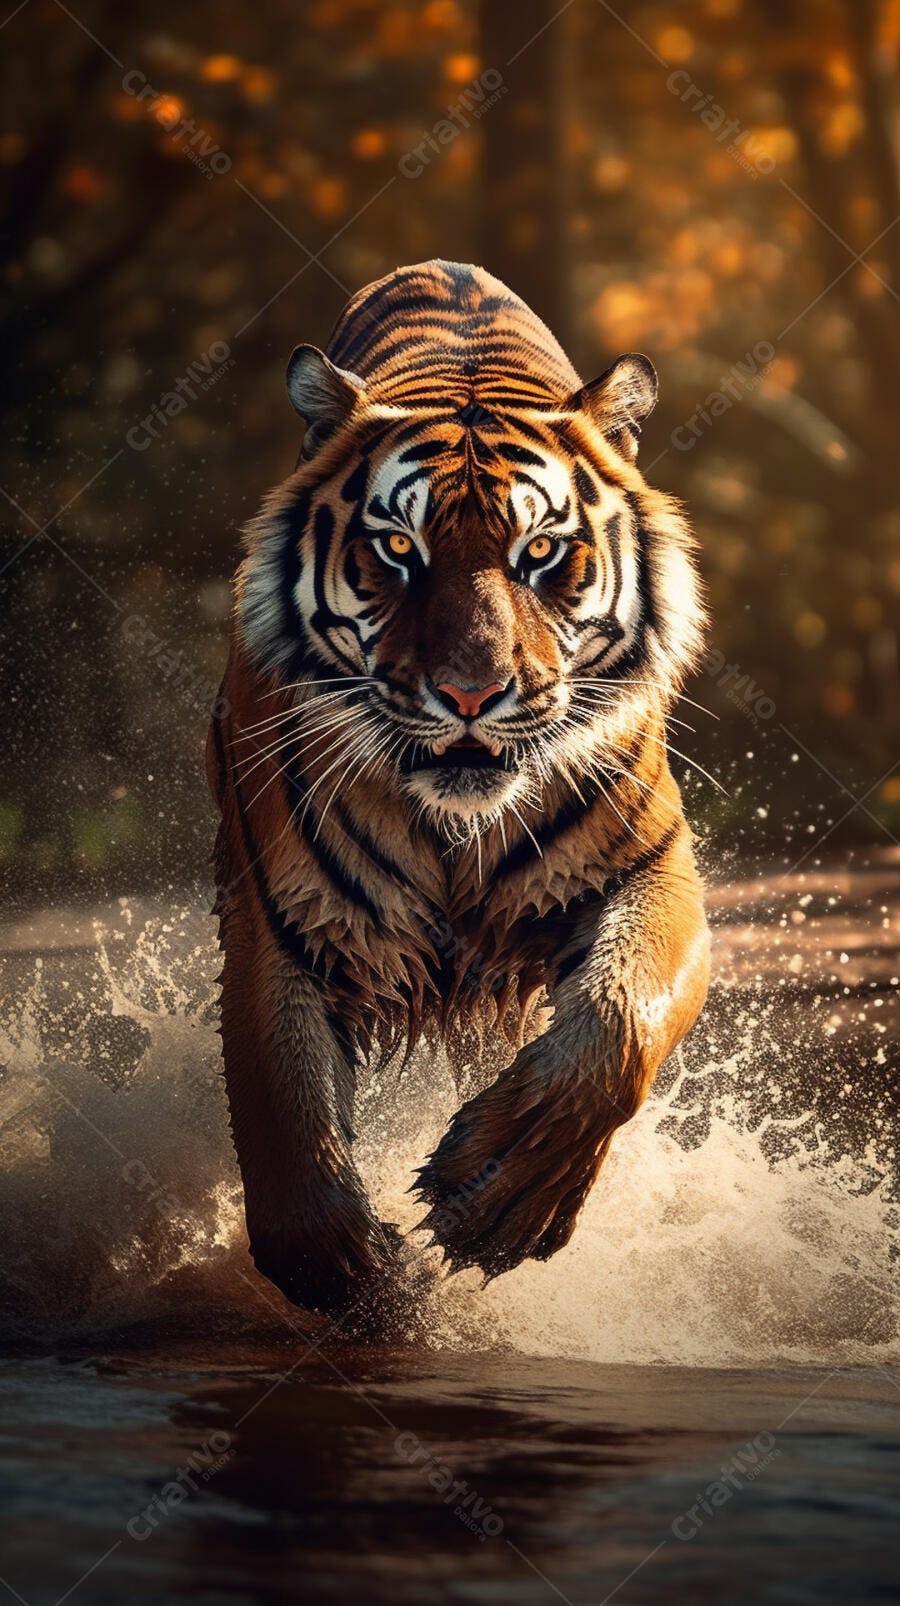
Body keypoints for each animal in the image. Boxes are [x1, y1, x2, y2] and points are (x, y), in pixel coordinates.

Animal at [207, 258, 710, 1324]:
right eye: (399, 551)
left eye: (540, 553)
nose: (473, 693)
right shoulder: (280, 921)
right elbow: (281, 1120)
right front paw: (365, 1283)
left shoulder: (653, 869)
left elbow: (617, 1023)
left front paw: (501, 1198)